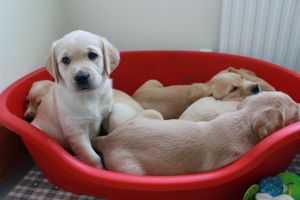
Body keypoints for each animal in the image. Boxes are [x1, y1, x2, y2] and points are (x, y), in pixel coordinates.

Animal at [30, 29, 119, 167]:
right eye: (65, 60)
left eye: (92, 55)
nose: (81, 76)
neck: (89, 96)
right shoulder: (76, 132)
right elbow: (93, 157)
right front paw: (99, 168)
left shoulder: (104, 115)